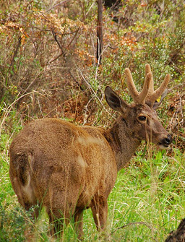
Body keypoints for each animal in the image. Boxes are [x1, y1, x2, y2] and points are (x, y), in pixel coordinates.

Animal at [9, 63, 172, 238]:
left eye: (156, 114)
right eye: (142, 117)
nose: (167, 138)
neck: (114, 152)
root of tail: (25, 154)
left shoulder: (80, 206)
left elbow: (79, 234)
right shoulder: (100, 193)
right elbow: (103, 232)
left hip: (24, 196)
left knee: (28, 230)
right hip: (61, 195)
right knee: (53, 233)